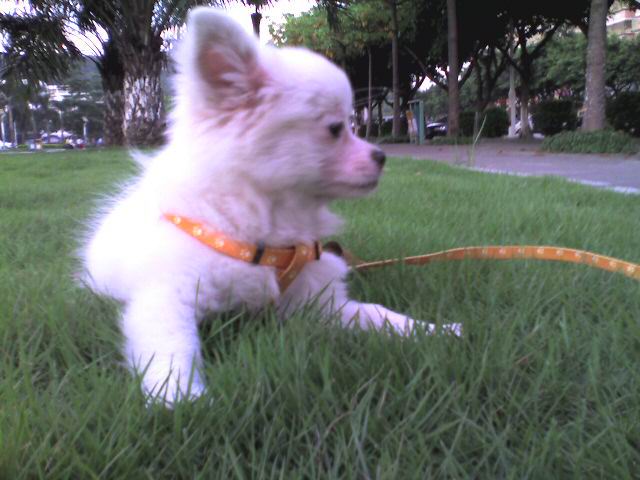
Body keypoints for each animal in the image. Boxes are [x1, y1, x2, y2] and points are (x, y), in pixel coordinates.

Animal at [81, 7, 460, 404]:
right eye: (335, 128)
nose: (382, 156)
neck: (260, 224)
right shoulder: (166, 296)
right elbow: (172, 345)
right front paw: (181, 396)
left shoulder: (318, 303)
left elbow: (376, 314)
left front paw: (434, 330)